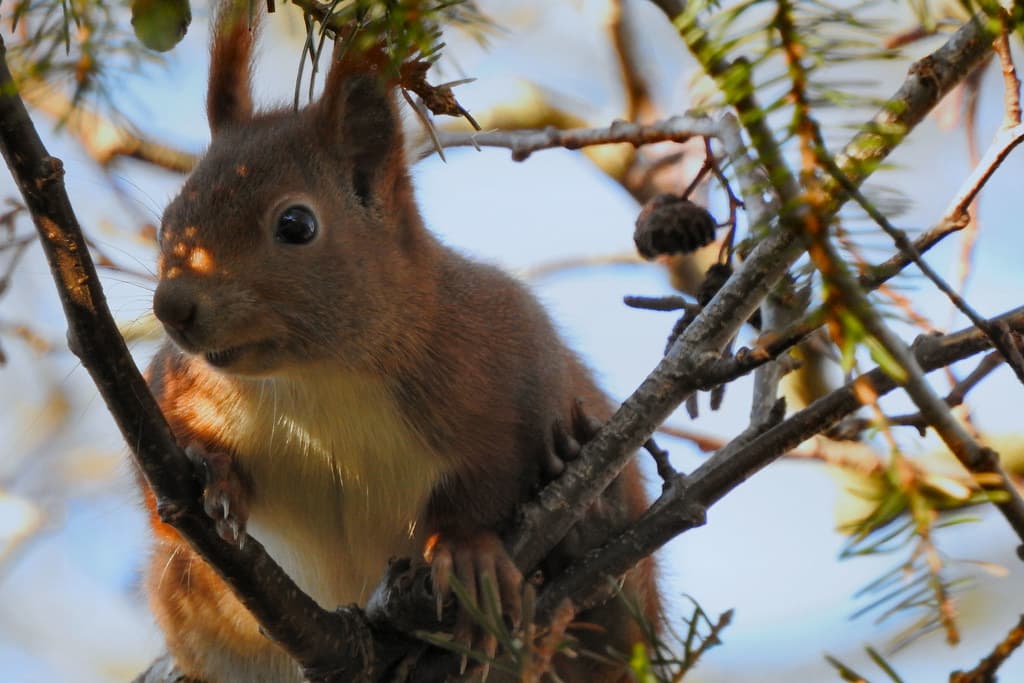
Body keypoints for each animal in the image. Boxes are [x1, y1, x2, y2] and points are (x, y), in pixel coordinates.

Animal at [140, 3, 659, 682]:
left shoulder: (509, 350)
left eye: (296, 224)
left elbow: (486, 481)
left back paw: (592, 520)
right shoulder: (174, 384)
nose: (172, 307)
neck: (317, 381)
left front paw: (466, 551)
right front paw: (211, 471)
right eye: (170, 220)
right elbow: (164, 506)